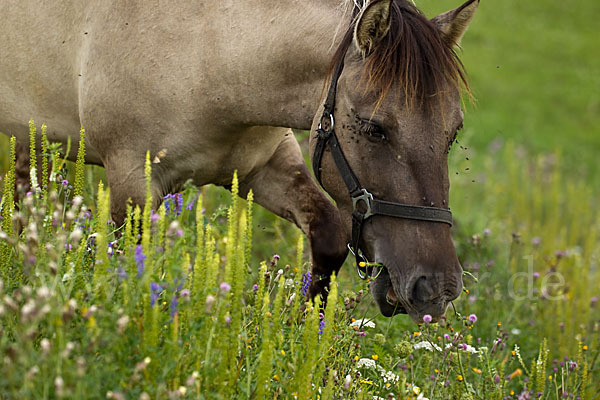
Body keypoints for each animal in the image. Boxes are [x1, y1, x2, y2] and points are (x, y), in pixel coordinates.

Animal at [0, 0, 478, 320]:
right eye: (375, 127)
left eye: (453, 131)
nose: (436, 288)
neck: (208, 51)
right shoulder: (133, 181)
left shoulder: (263, 168)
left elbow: (327, 233)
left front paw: (298, 335)